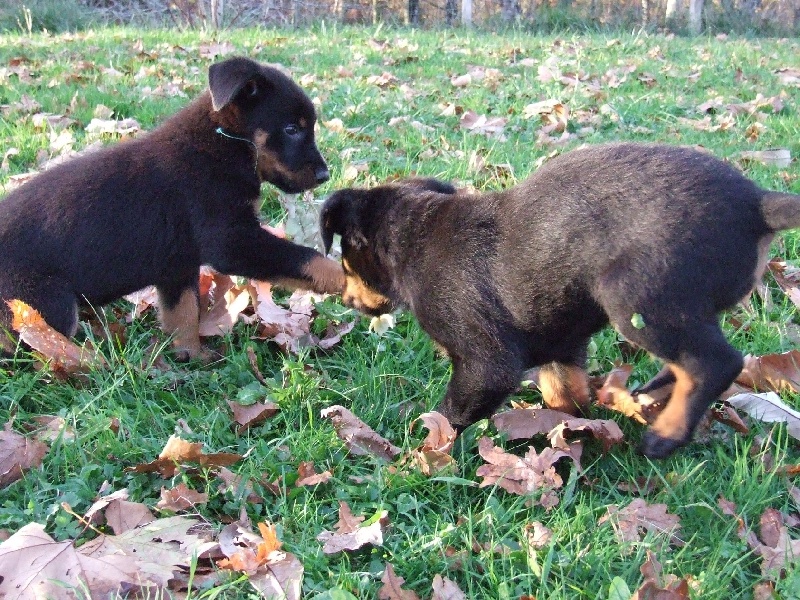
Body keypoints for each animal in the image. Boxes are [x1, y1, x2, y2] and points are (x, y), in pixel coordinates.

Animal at [0, 56, 340, 358]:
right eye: (292, 129)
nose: (324, 175)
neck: (225, 142)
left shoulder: (177, 264)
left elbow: (184, 314)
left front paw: (190, 356)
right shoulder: (230, 239)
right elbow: (307, 259)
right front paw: (347, 279)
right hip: (47, 300)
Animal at [322, 143, 800, 458]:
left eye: (345, 260)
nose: (345, 297)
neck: (414, 236)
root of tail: (758, 204)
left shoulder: (486, 363)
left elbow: (449, 414)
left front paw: (419, 451)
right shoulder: (562, 347)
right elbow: (564, 396)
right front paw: (570, 431)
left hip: (636, 299)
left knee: (715, 362)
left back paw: (666, 434)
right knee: (691, 356)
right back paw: (652, 394)